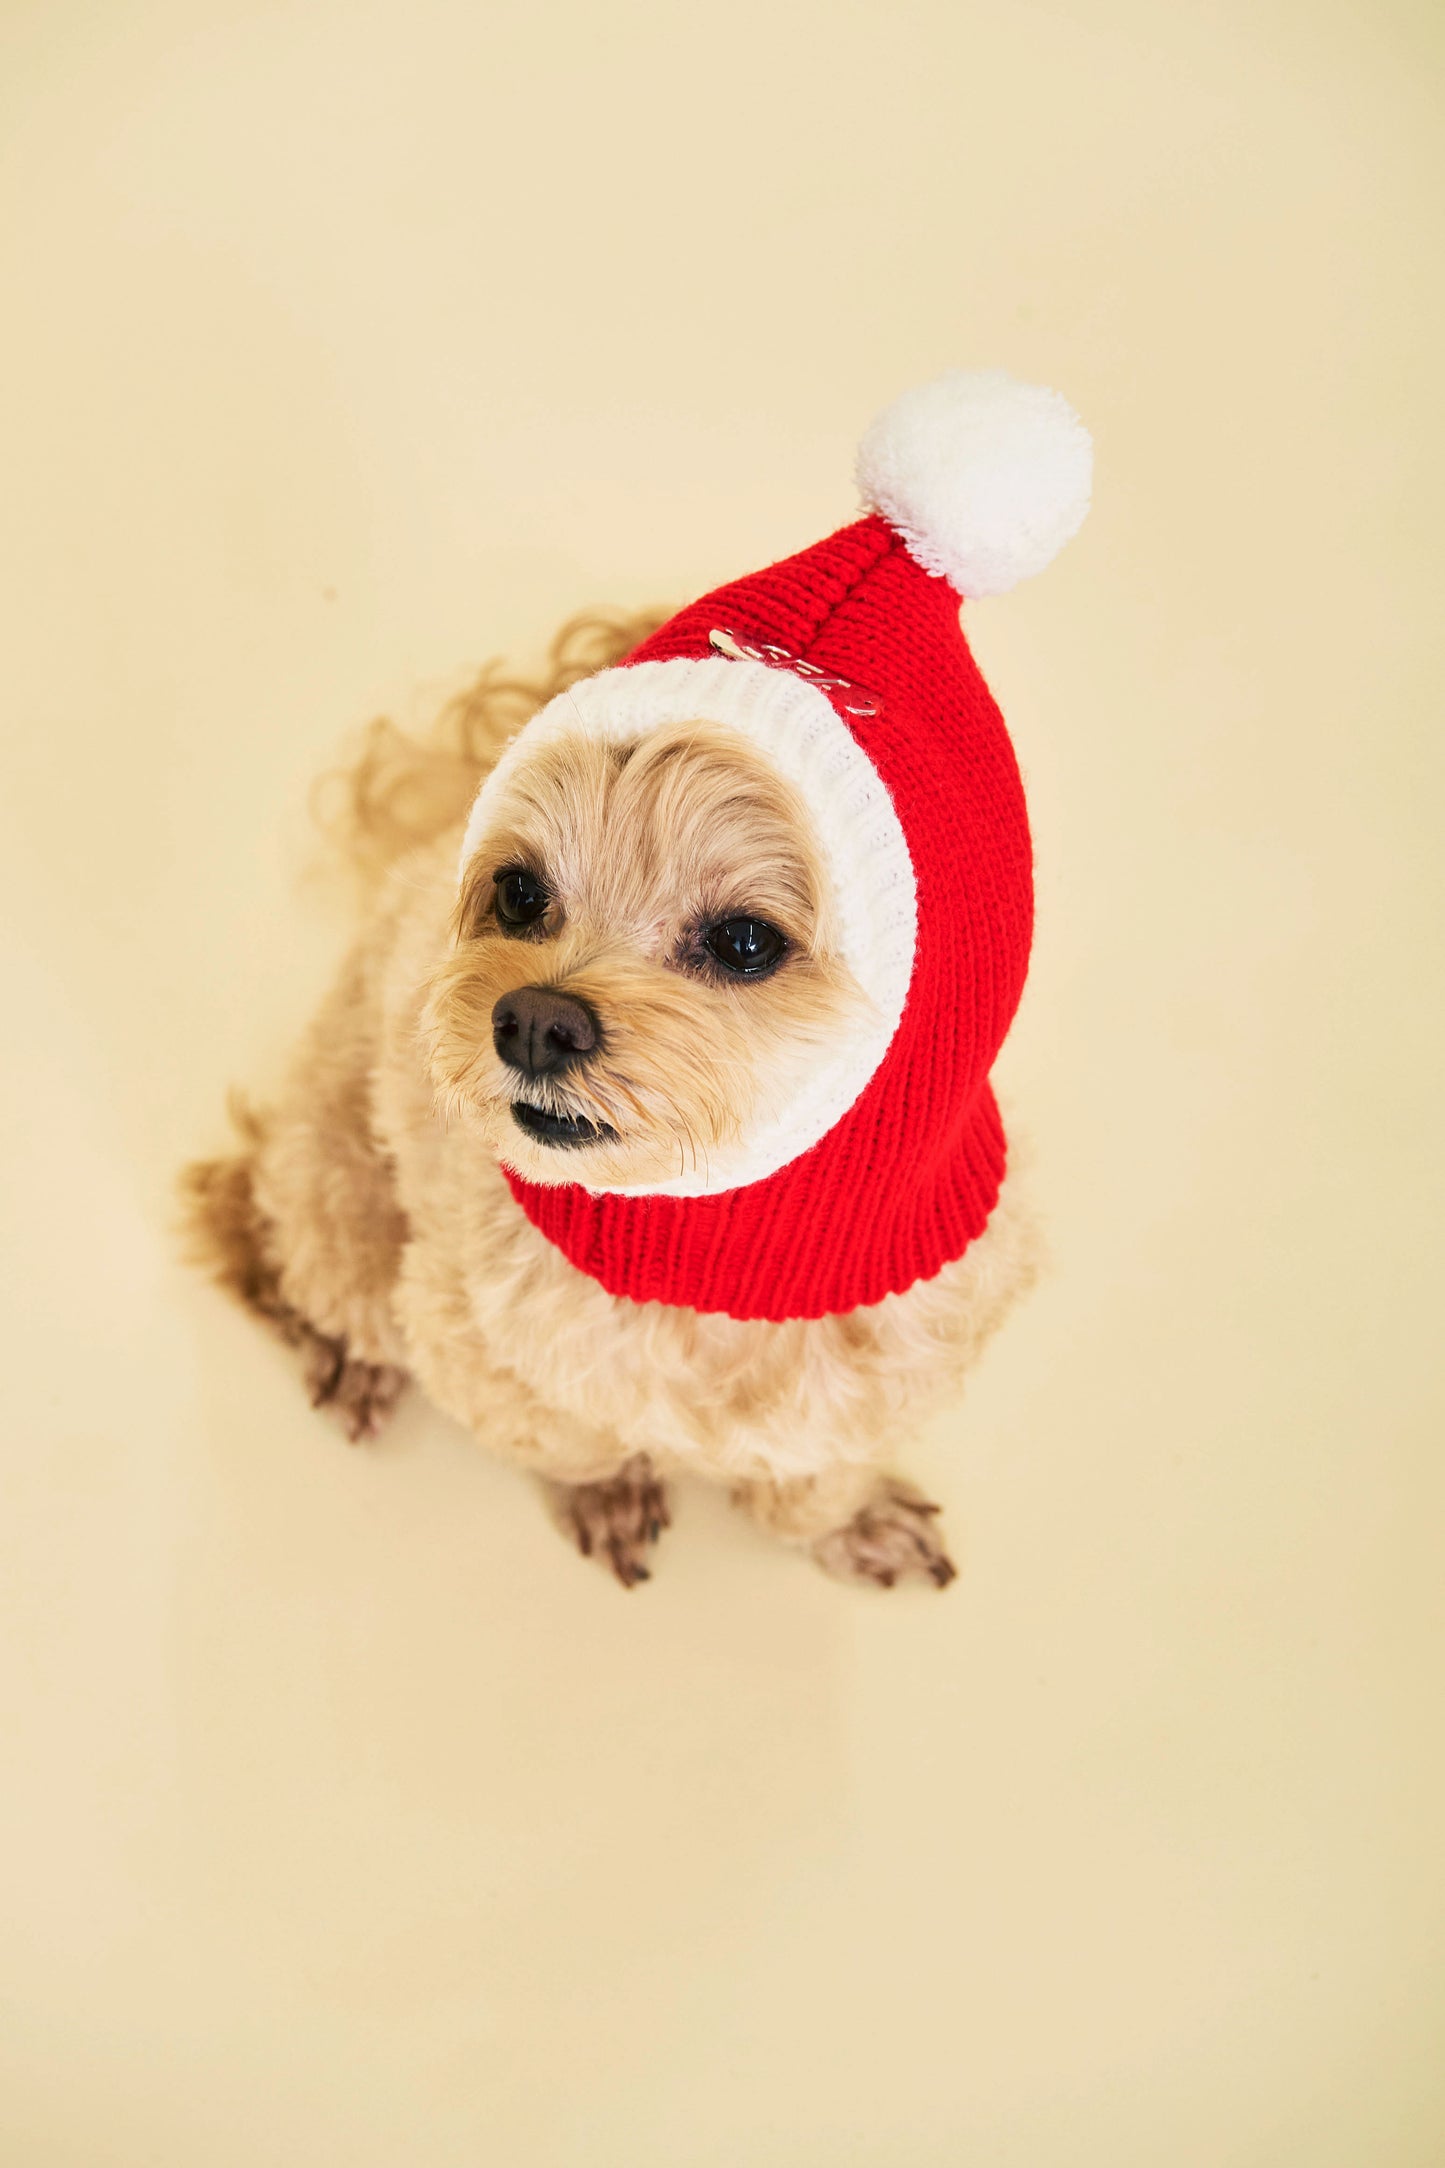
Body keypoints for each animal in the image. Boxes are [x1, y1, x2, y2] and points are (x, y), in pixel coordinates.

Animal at [180, 368, 1091, 1595]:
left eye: (745, 942)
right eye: (521, 893)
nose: (533, 1020)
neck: (722, 1264)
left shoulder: (895, 1358)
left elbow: (816, 1474)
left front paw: (849, 1521)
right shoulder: (473, 1341)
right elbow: (579, 1435)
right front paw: (610, 1491)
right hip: (339, 1200)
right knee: (277, 1239)